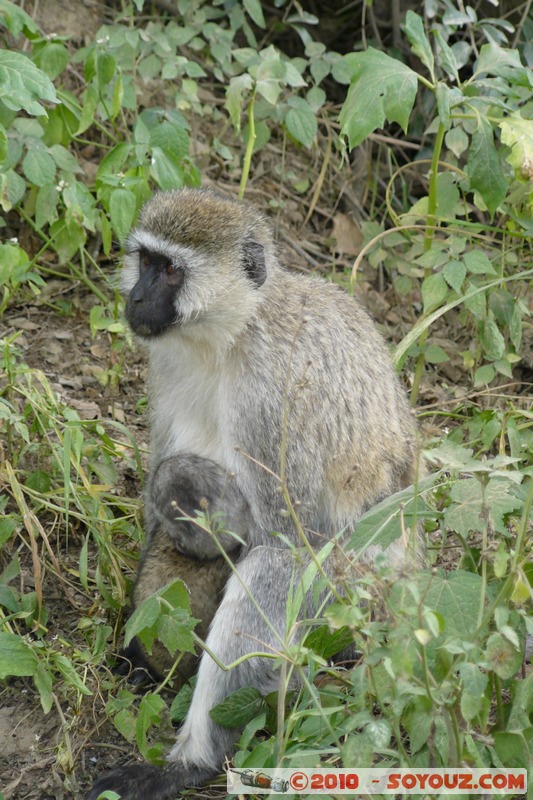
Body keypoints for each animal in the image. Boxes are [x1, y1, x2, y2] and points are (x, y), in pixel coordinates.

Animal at [89, 189, 418, 800]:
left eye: (171, 270)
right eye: (146, 260)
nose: (136, 296)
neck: (230, 335)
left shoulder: (271, 394)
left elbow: (288, 545)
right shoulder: (164, 365)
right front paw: (140, 652)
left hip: (349, 606)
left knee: (274, 568)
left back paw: (190, 761)